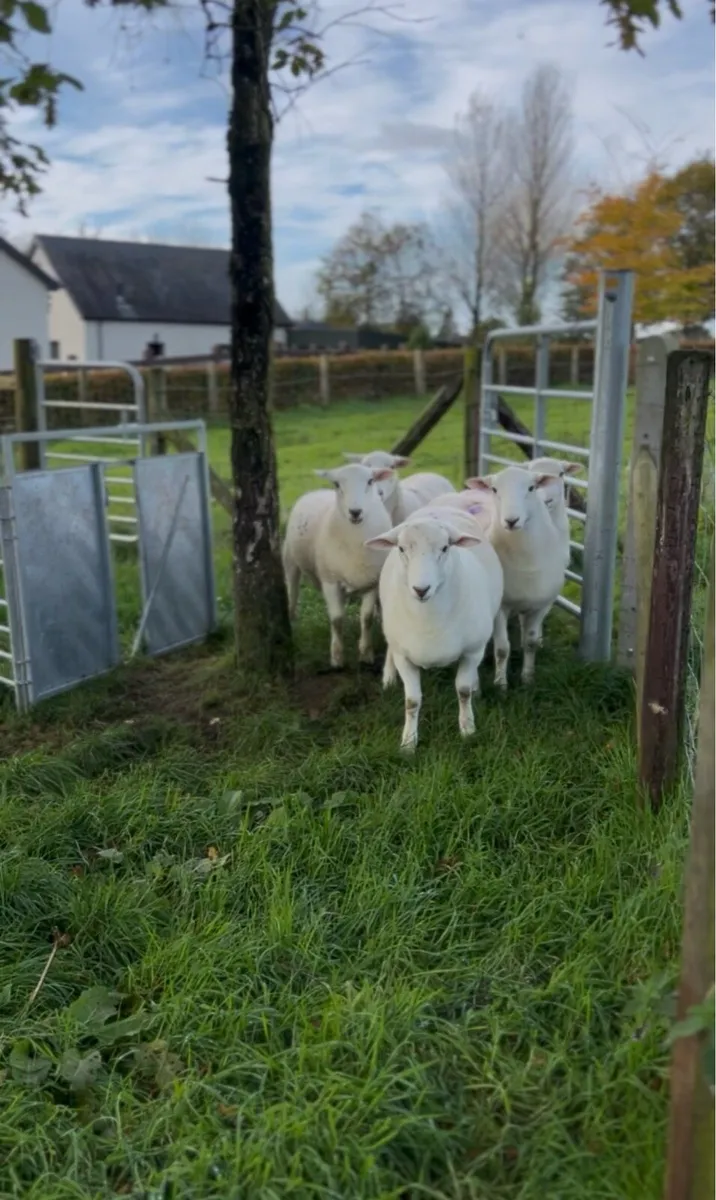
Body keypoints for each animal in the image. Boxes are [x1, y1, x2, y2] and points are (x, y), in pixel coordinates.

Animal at [282, 462, 394, 669]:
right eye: (336, 484)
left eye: (370, 481)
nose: (355, 512)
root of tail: (315, 491)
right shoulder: (330, 581)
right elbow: (336, 619)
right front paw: (337, 657)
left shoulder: (372, 582)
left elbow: (366, 618)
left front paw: (366, 654)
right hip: (290, 560)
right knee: (292, 595)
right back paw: (292, 627)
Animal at [365, 510, 504, 751]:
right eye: (401, 548)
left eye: (445, 548)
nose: (421, 589)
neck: (429, 620)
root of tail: (441, 507)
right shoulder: (403, 656)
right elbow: (411, 701)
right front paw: (408, 742)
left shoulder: (472, 651)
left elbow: (463, 691)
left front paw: (467, 729)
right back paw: (389, 679)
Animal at [466, 465, 565, 689]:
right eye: (494, 489)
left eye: (532, 488)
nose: (511, 521)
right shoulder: (500, 608)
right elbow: (502, 648)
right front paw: (500, 684)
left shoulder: (541, 605)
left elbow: (530, 643)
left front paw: (528, 679)